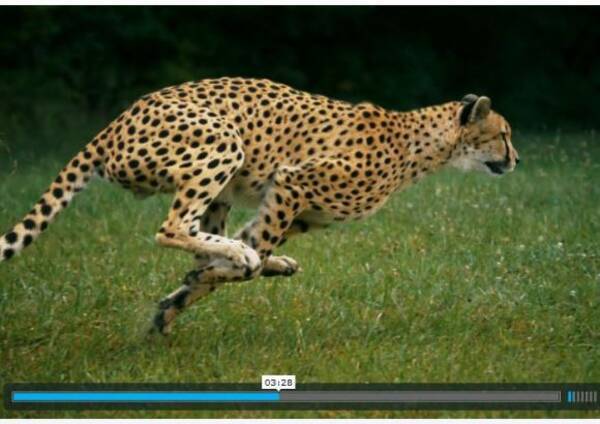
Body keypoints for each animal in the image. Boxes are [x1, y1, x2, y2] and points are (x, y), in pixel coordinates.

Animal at [0, 77, 516, 334]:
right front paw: (220, 274)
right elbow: (247, 258)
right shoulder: (293, 183)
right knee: (173, 227)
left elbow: (230, 259)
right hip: (221, 143)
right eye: (504, 134)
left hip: (222, 188)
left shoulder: (289, 207)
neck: (423, 146)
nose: (517, 159)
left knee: (203, 233)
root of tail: (116, 121)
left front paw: (173, 305)